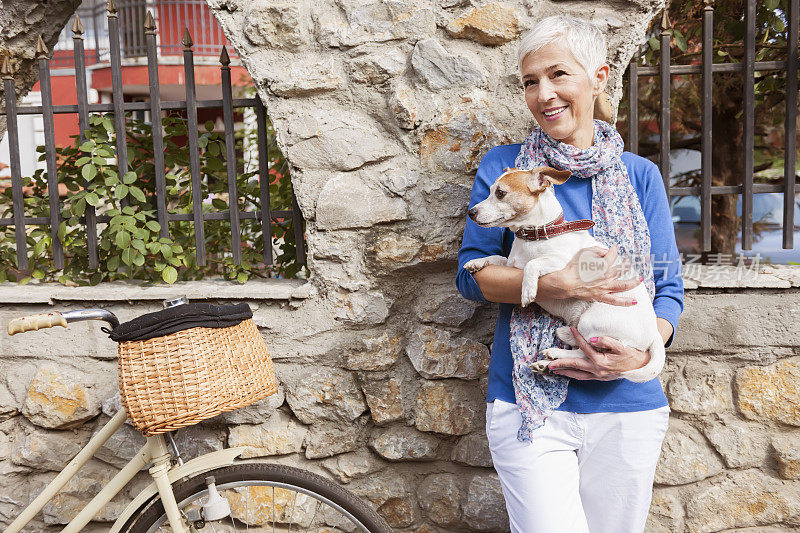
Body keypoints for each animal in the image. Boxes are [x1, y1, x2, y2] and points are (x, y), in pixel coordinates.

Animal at [462, 167, 664, 382]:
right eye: (490, 190)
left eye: (500, 193)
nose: (471, 212)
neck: (535, 236)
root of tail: (653, 335)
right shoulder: (511, 266)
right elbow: (497, 257)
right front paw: (476, 262)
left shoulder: (562, 264)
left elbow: (533, 264)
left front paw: (527, 290)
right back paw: (550, 357)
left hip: (592, 320)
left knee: (588, 354)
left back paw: (555, 352)